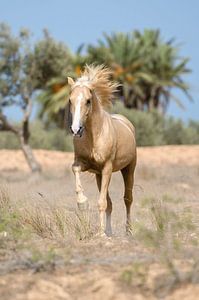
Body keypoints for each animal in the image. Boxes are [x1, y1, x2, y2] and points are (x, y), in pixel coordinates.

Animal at [67, 65, 136, 237]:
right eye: (70, 100)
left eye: (88, 100)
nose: (76, 130)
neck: (95, 135)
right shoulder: (86, 165)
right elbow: (75, 170)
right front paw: (82, 203)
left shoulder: (107, 168)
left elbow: (102, 202)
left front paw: (101, 233)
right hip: (99, 176)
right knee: (111, 203)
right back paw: (109, 230)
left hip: (129, 168)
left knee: (128, 199)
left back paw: (128, 231)